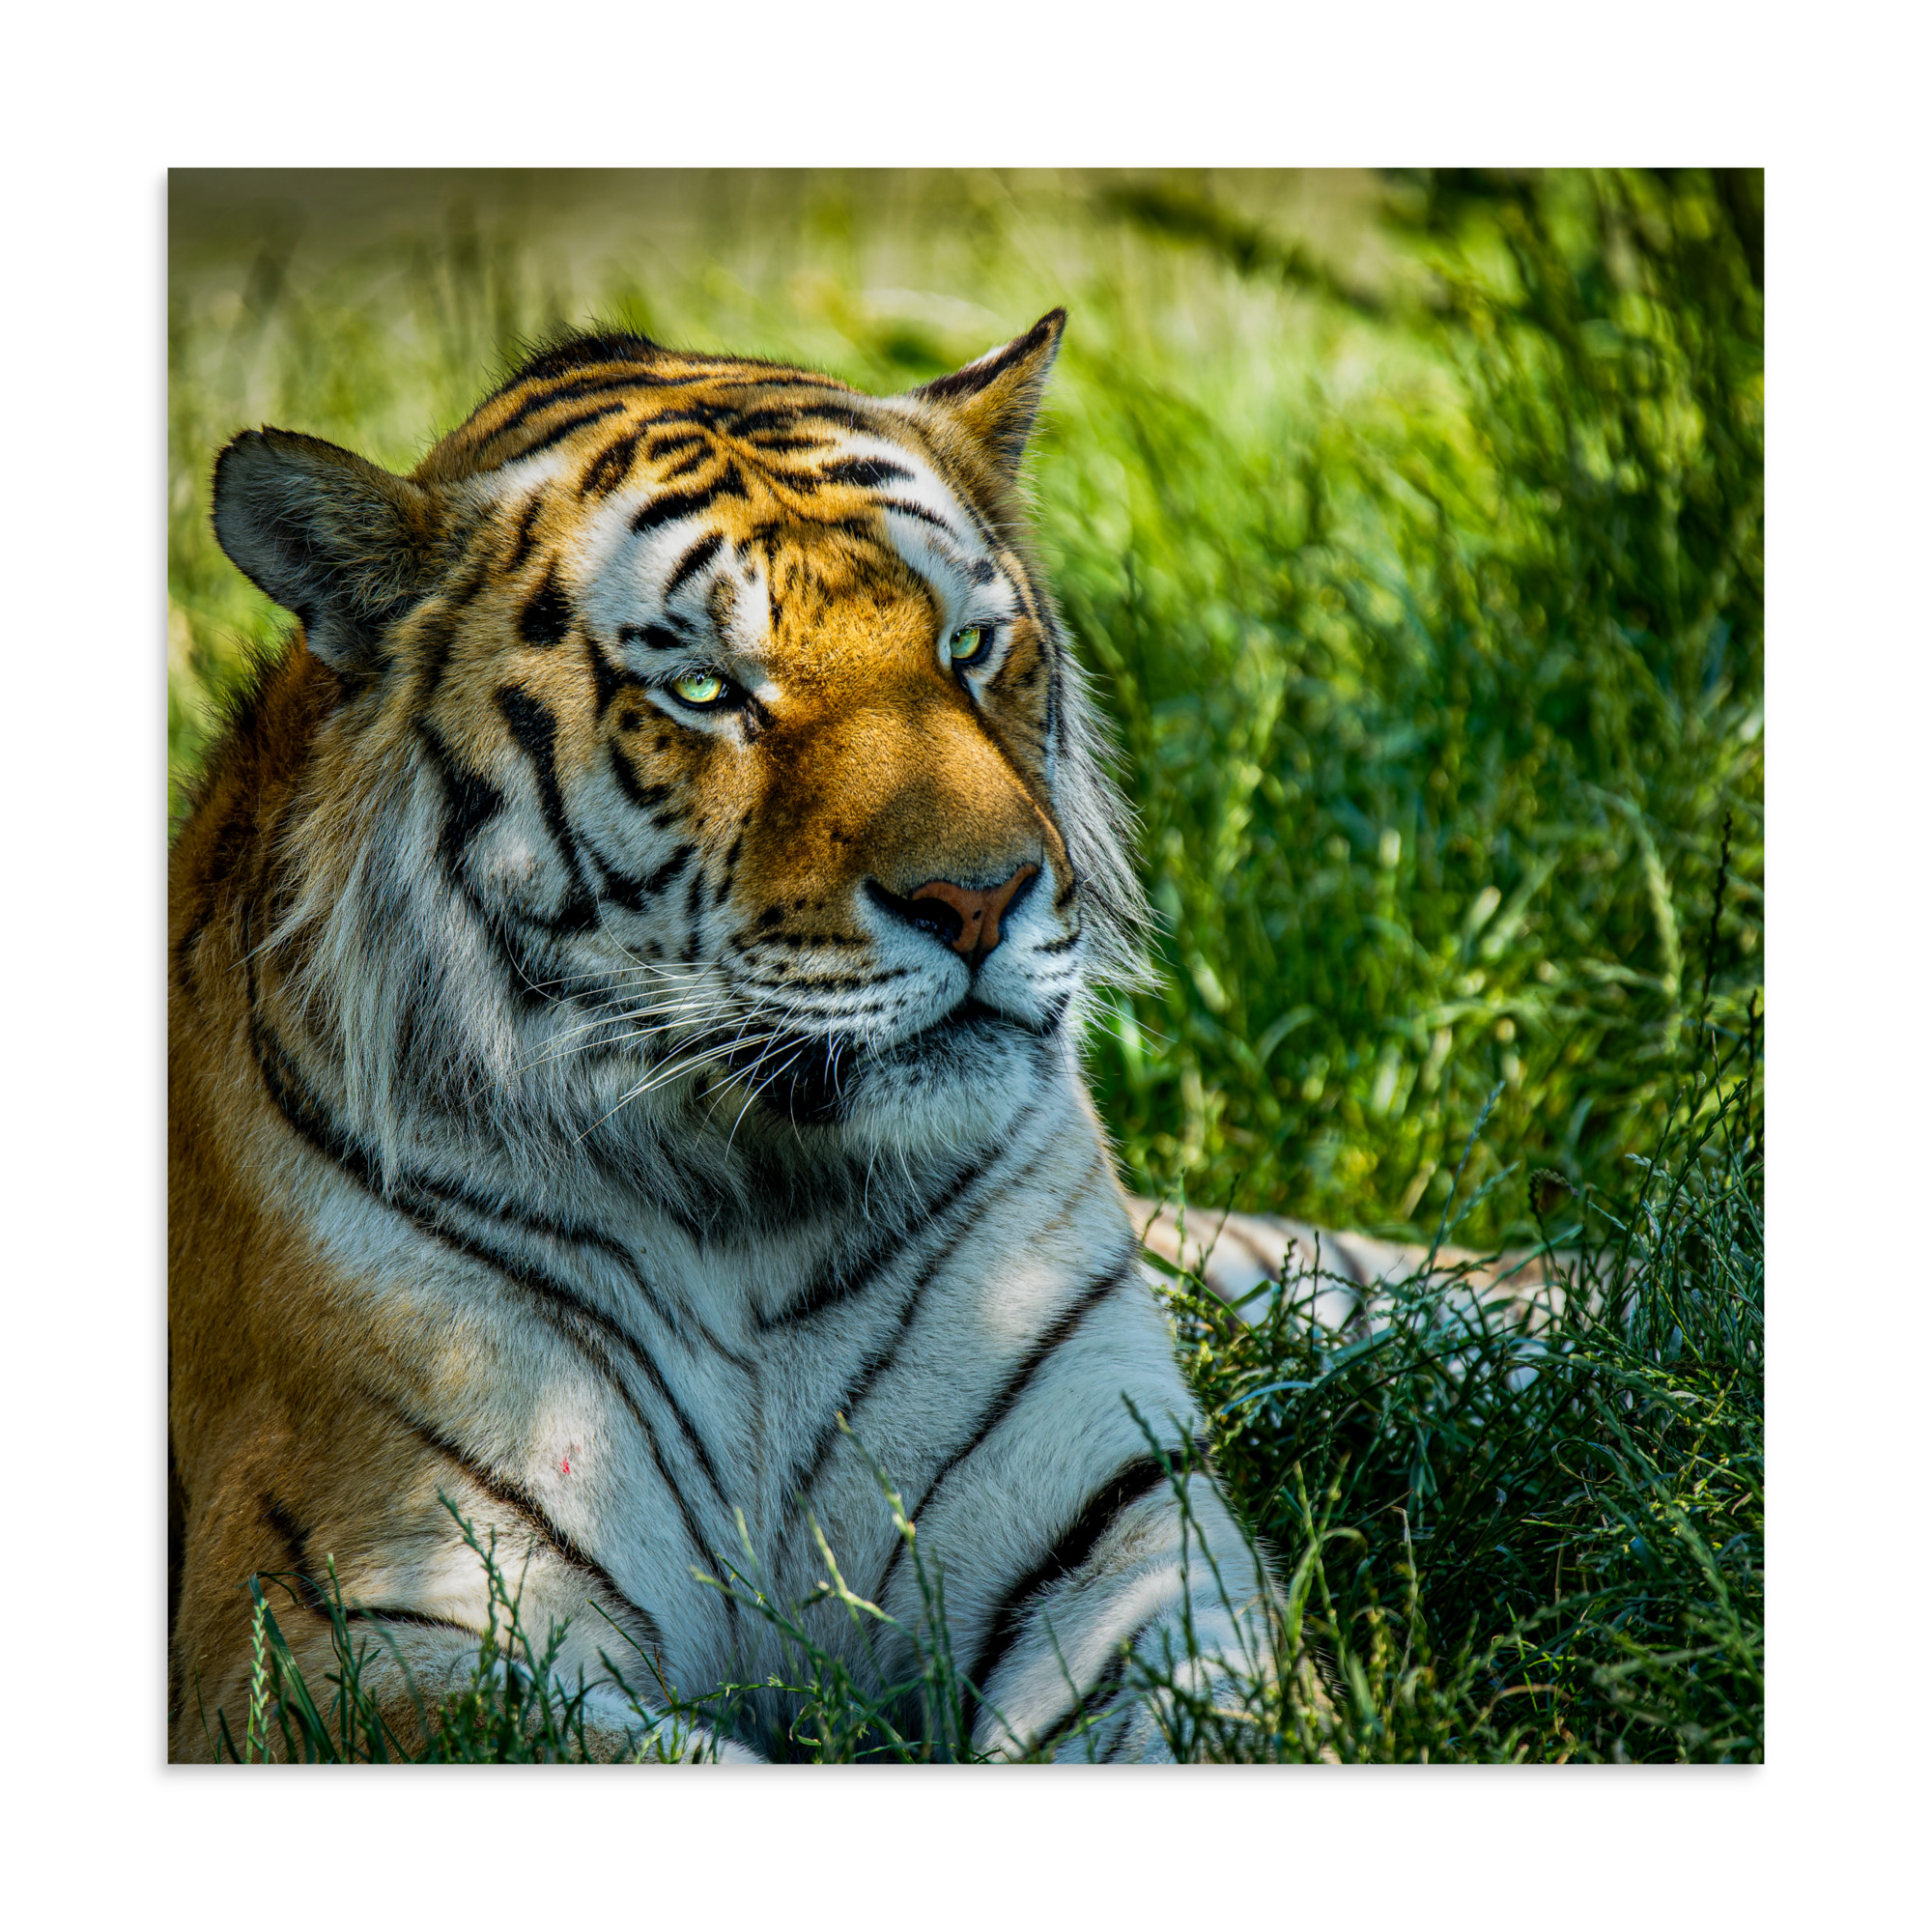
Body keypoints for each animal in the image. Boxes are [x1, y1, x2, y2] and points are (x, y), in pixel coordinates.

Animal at [168, 310, 1276, 1762]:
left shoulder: (1125, 1526)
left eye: (969, 648)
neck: (752, 1208)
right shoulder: (355, 1629)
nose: (982, 898)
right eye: (705, 689)